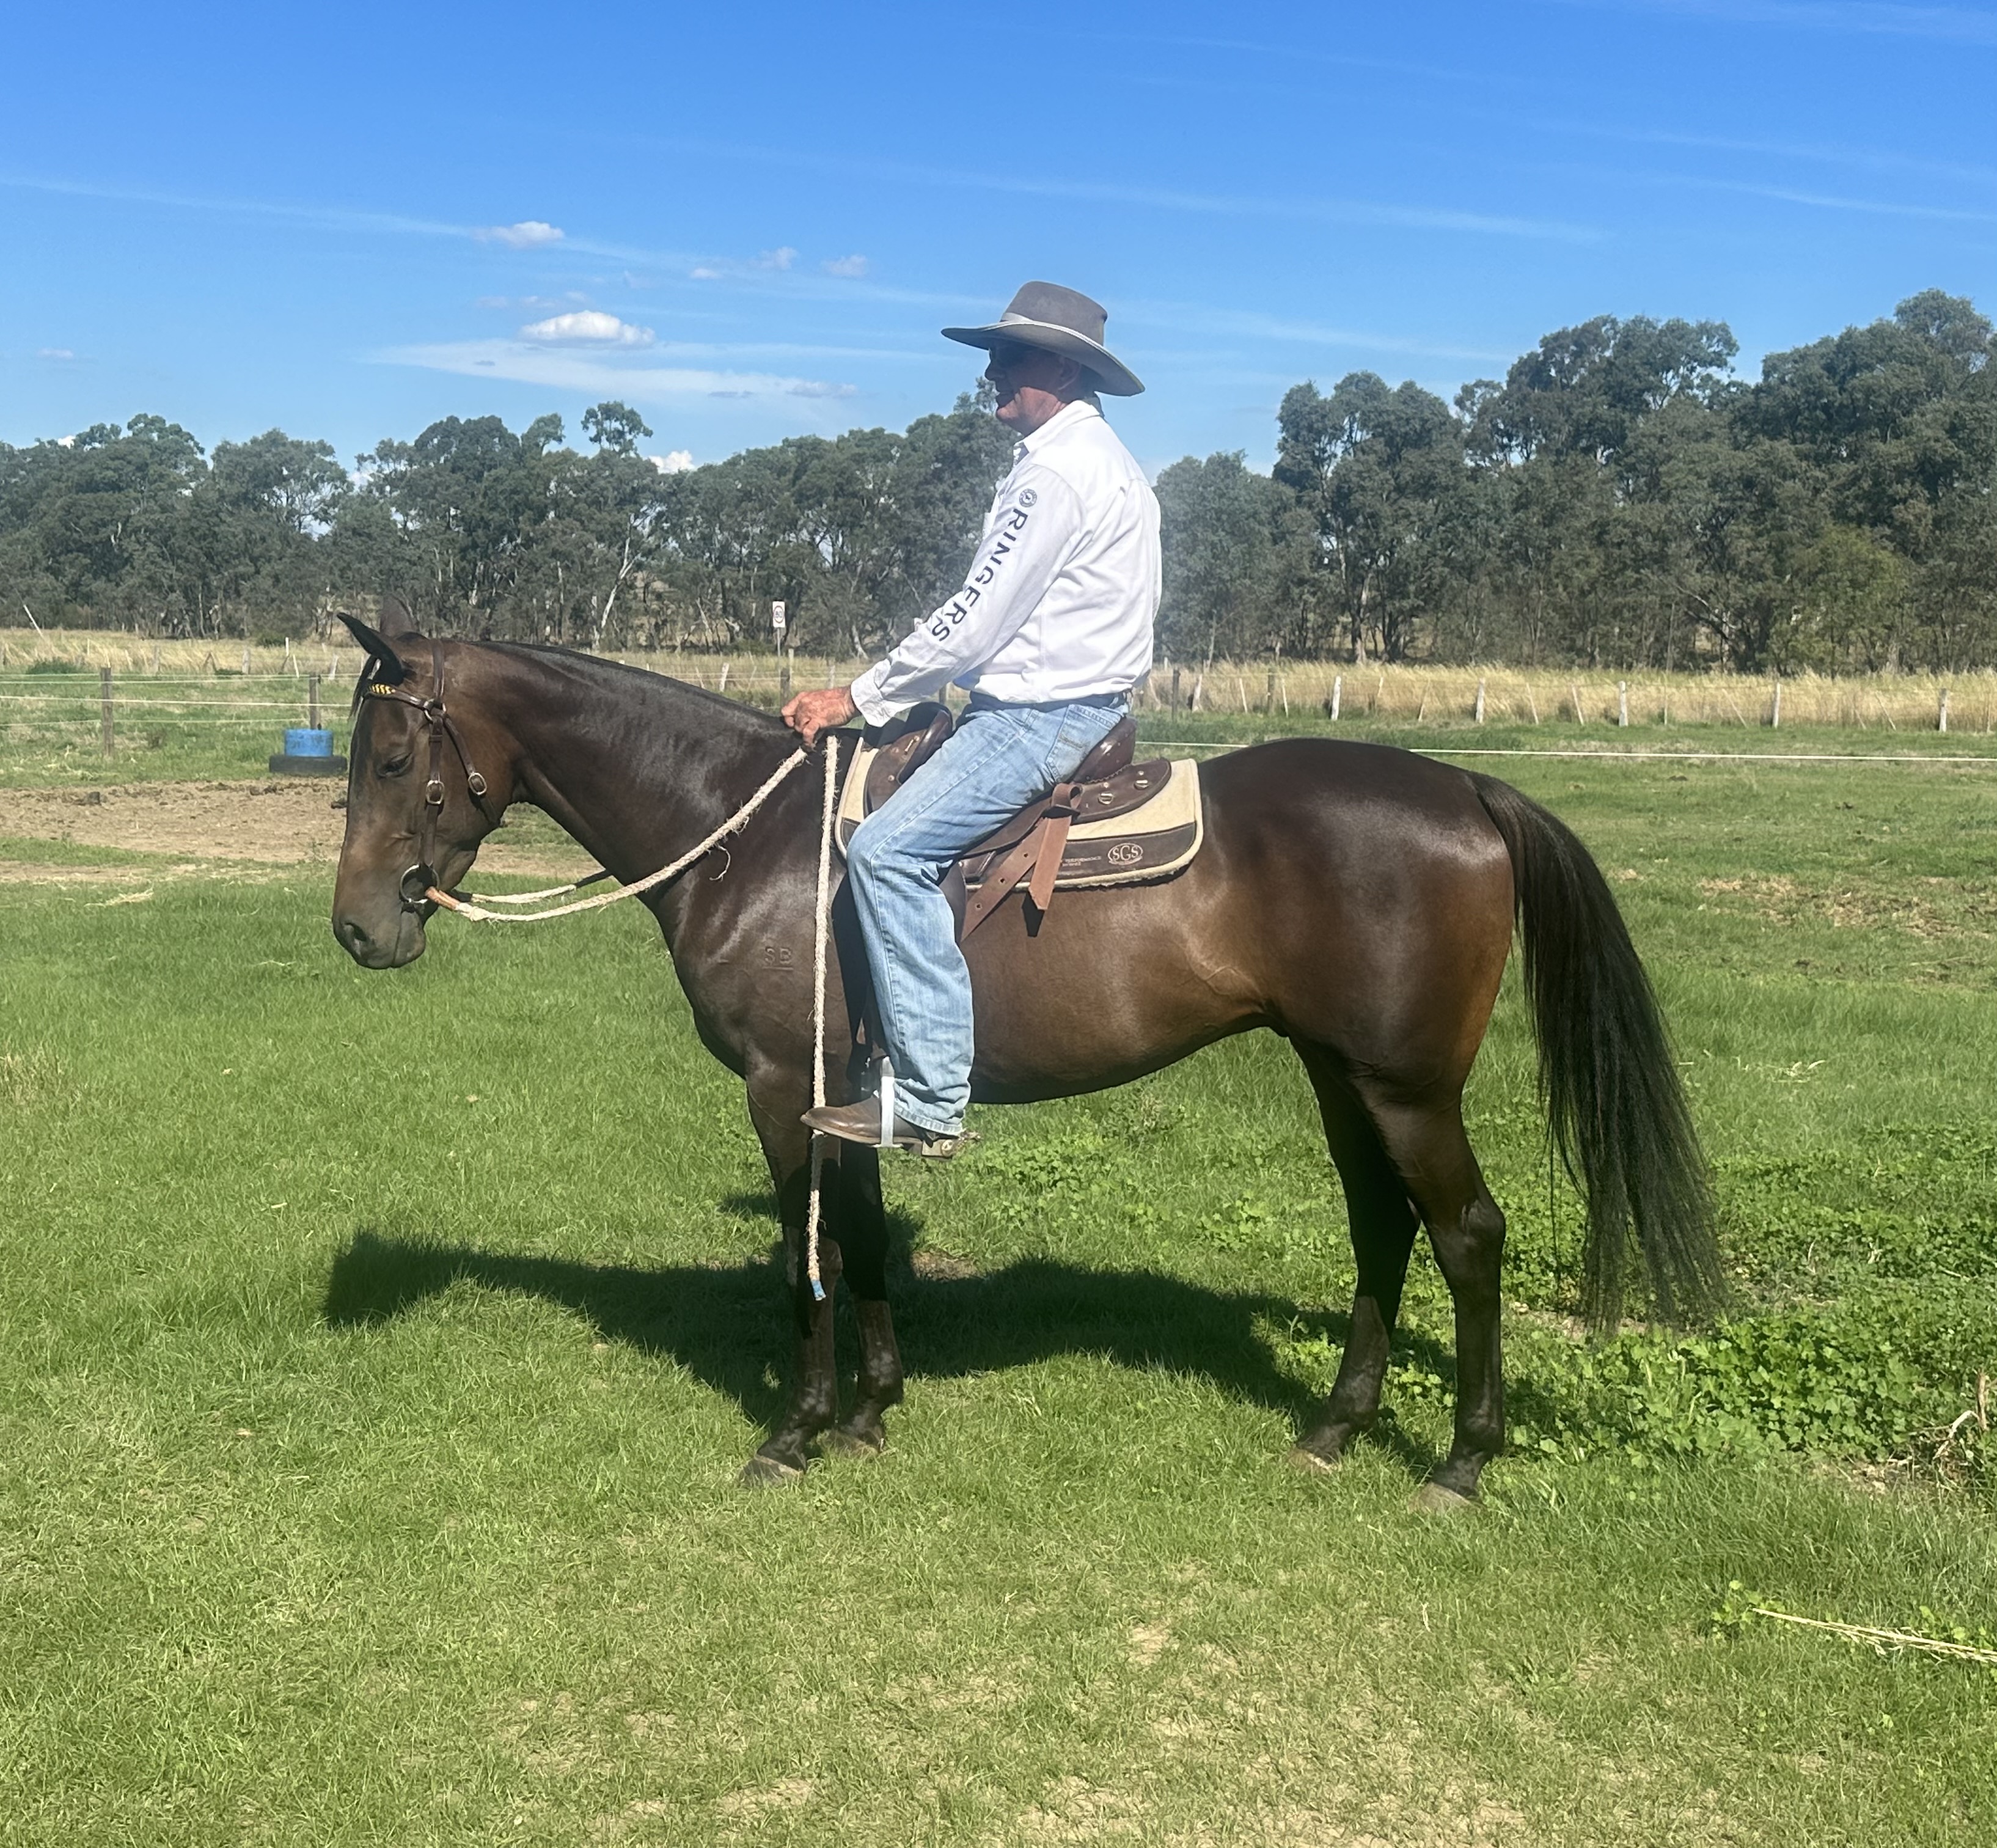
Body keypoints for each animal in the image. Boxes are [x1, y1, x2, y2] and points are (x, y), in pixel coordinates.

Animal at [329, 607, 1721, 1509]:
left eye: (393, 757)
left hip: (1407, 1086)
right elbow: (866, 1244)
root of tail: (1470, 792)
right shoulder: (857, 1098)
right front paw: (872, 1410)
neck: (752, 840)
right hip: (1339, 1075)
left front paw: (794, 1431)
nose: (355, 928)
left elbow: (806, 1262)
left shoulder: (786, 1092)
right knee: (1379, 1225)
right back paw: (1333, 1424)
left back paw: (1460, 1459)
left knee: (1467, 1236)